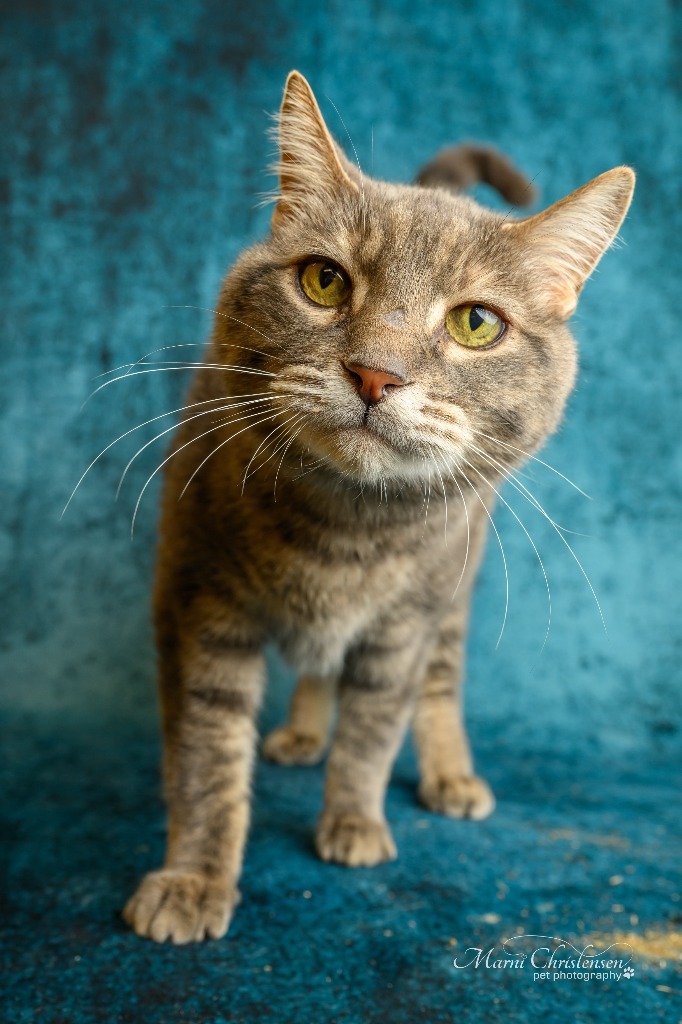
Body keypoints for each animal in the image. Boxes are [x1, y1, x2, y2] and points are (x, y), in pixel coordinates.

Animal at [120, 72, 630, 942]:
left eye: (476, 323)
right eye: (324, 281)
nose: (375, 373)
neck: (343, 531)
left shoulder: (404, 624)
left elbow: (374, 728)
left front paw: (355, 821)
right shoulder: (198, 602)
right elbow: (204, 754)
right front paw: (194, 878)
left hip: (457, 589)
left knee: (441, 682)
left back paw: (450, 773)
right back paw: (300, 731)